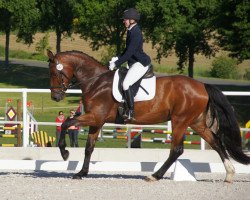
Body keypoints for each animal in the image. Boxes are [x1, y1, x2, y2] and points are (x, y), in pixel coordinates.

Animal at [47, 50, 250, 183]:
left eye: (55, 72)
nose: (55, 97)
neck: (95, 82)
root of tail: (202, 85)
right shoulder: (97, 121)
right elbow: (89, 147)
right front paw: (81, 173)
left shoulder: (94, 117)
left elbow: (66, 123)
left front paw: (64, 153)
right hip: (197, 123)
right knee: (216, 143)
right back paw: (229, 174)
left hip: (180, 121)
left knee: (177, 150)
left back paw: (154, 176)